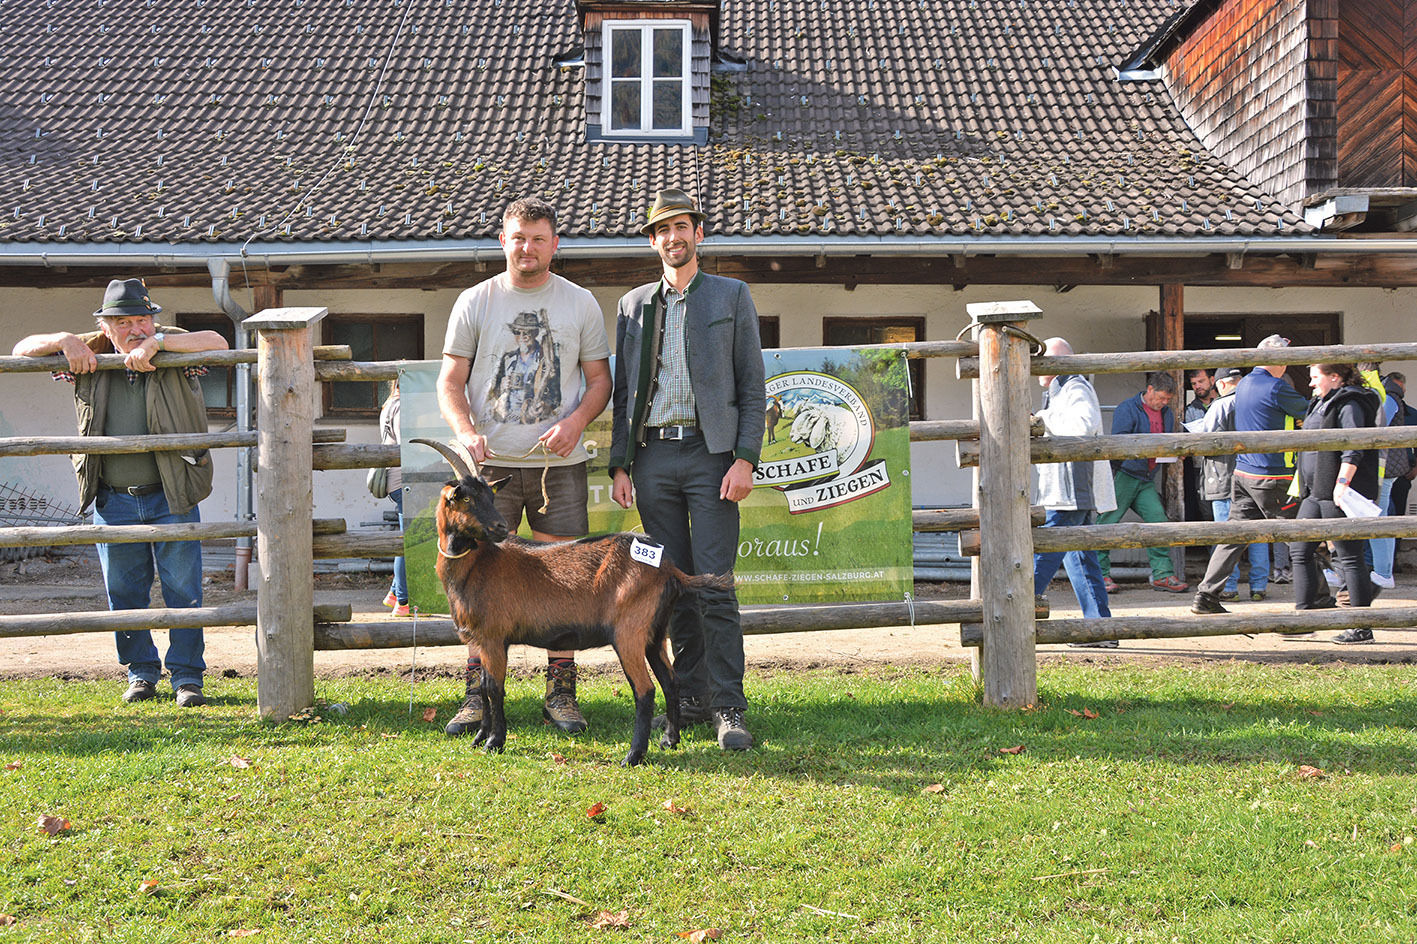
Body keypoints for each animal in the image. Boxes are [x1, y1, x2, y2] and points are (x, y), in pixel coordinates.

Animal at [405, 436, 725, 759]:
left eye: (491, 498)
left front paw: (494, 742)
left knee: (645, 690)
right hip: (655, 634)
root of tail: (669, 567)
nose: (500, 527)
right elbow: (483, 688)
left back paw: (633, 756)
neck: (478, 565)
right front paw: (479, 737)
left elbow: (495, 689)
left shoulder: (494, 637)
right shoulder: (482, 640)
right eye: (466, 499)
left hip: (629, 632)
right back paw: (670, 740)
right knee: (670, 683)